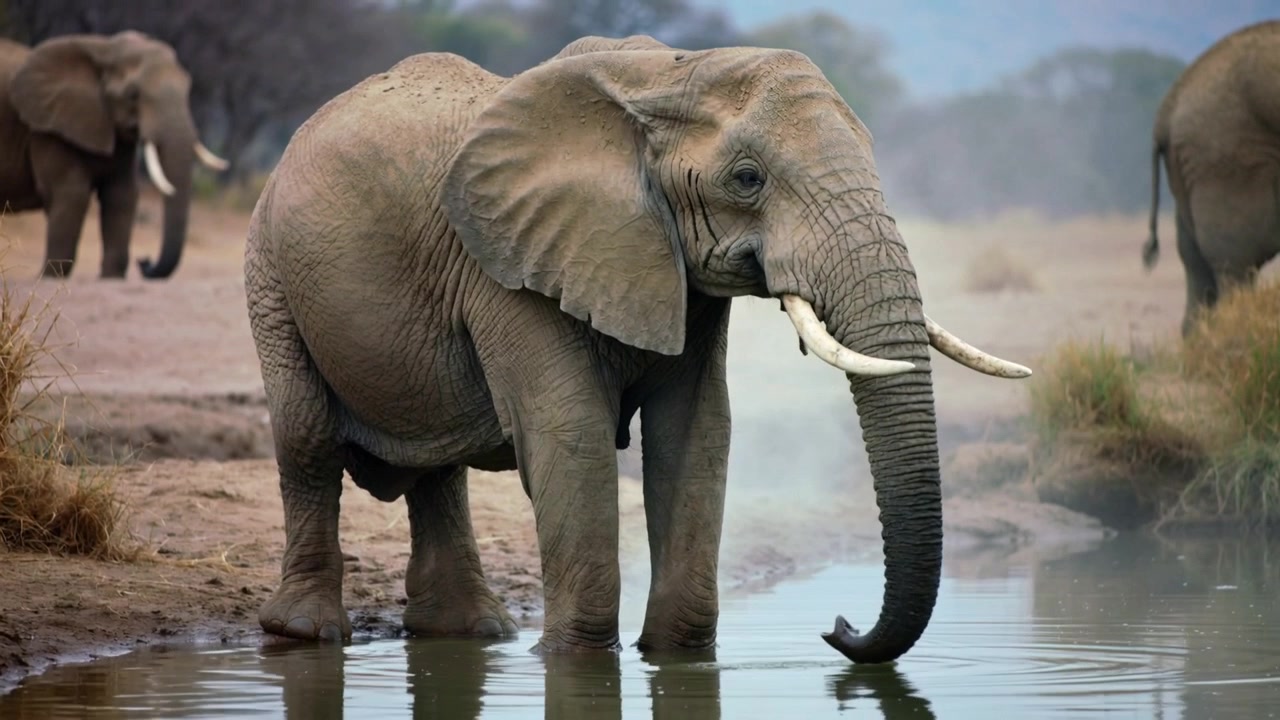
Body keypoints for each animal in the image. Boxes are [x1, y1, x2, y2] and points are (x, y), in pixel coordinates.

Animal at [0, 30, 228, 280]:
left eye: (188, 88)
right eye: (133, 94)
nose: (144, 260)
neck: (105, 47)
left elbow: (122, 195)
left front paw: (111, 277)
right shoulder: (48, 131)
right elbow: (72, 193)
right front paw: (50, 276)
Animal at [244, 34, 1032, 664]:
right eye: (748, 178)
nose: (837, 628)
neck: (662, 77)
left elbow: (697, 435)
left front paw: (676, 659)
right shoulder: (509, 265)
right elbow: (572, 436)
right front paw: (573, 662)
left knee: (437, 470)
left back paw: (470, 635)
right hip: (270, 271)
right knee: (308, 439)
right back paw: (306, 635)